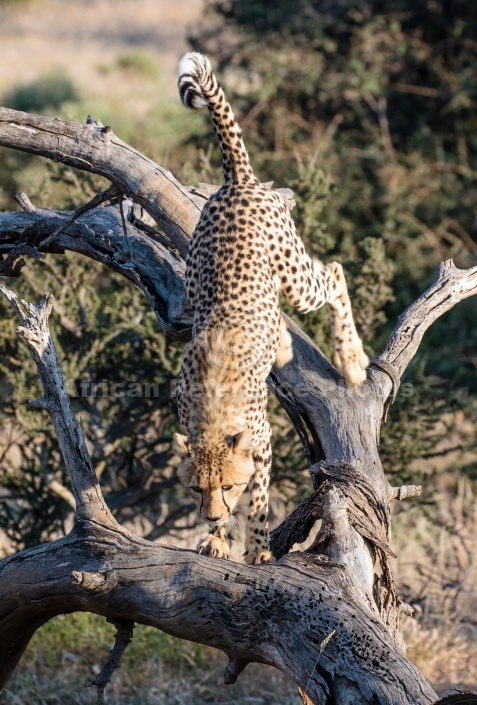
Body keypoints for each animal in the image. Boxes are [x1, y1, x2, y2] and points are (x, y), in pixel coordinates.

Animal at [172, 52, 368, 564]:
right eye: (197, 489)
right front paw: (216, 539)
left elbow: (260, 498)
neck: (213, 409)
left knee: (334, 272)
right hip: (196, 286)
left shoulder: (261, 443)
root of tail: (240, 181)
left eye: (228, 486)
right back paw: (283, 345)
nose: (212, 515)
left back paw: (351, 359)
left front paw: (257, 547)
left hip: (296, 275)